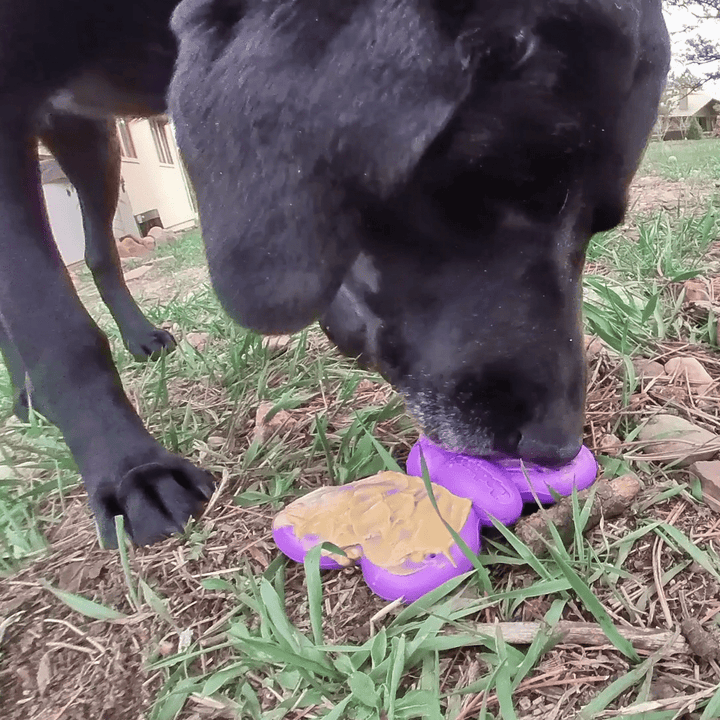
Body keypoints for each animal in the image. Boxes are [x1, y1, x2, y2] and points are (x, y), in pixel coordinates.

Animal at [0, 0, 668, 544]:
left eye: (601, 224)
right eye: (488, 186)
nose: (558, 446)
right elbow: (58, 332)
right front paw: (128, 467)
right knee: (90, 257)